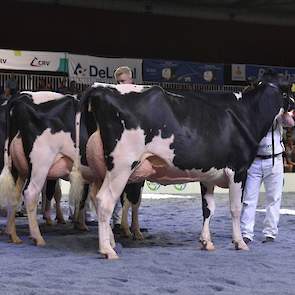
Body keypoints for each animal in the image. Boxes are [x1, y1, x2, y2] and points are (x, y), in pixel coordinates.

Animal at [79, 71, 295, 260]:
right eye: (288, 91)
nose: (293, 107)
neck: (248, 113)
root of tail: (100, 88)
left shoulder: (208, 174)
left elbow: (208, 208)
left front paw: (206, 242)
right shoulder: (238, 170)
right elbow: (235, 208)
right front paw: (239, 242)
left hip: (102, 168)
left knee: (97, 199)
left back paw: (111, 242)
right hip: (122, 165)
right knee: (105, 201)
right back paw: (108, 250)